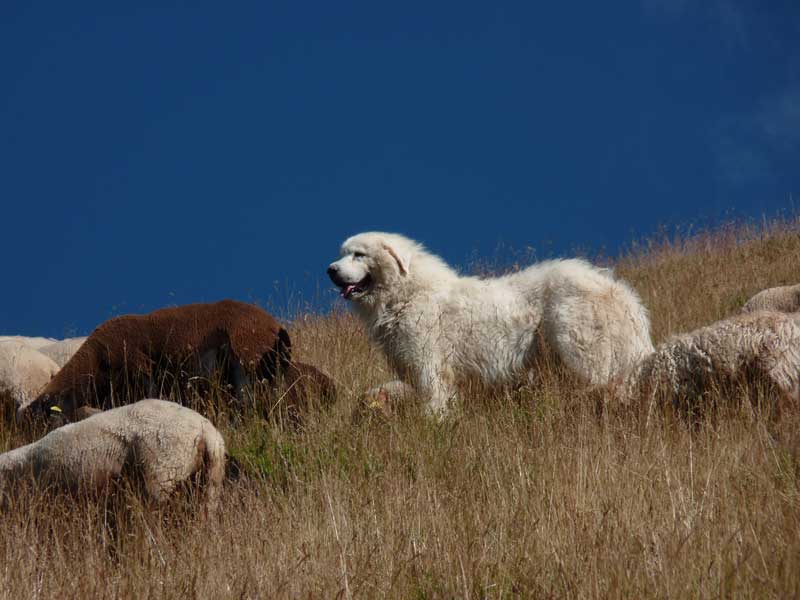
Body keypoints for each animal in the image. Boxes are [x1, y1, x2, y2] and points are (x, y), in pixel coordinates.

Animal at [328, 232, 652, 414]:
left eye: (359, 254)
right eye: (343, 254)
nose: (330, 269)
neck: (407, 293)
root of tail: (621, 292)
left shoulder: (431, 371)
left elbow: (433, 409)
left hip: (580, 349)